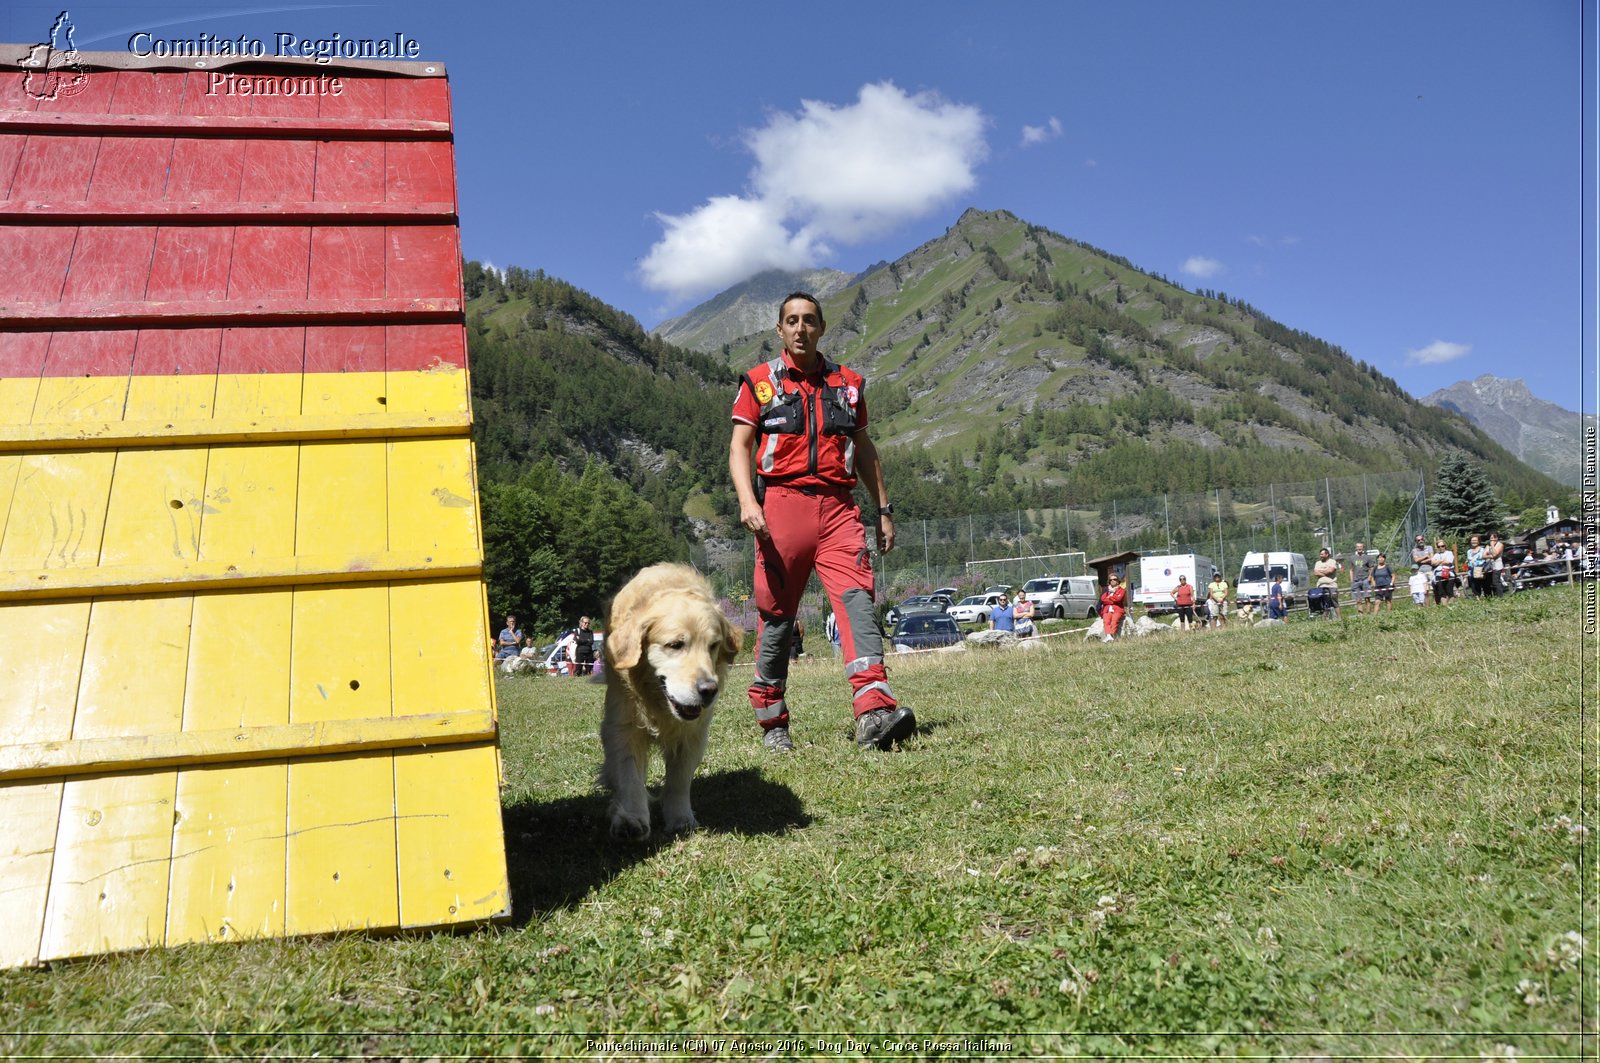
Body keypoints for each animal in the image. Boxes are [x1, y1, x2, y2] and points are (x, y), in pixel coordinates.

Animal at [601, 563, 745, 838]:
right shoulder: (622, 726)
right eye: (675, 645)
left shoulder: (693, 733)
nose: (709, 690)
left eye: (713, 645)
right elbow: (629, 775)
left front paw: (680, 818)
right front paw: (631, 818)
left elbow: (679, 780)